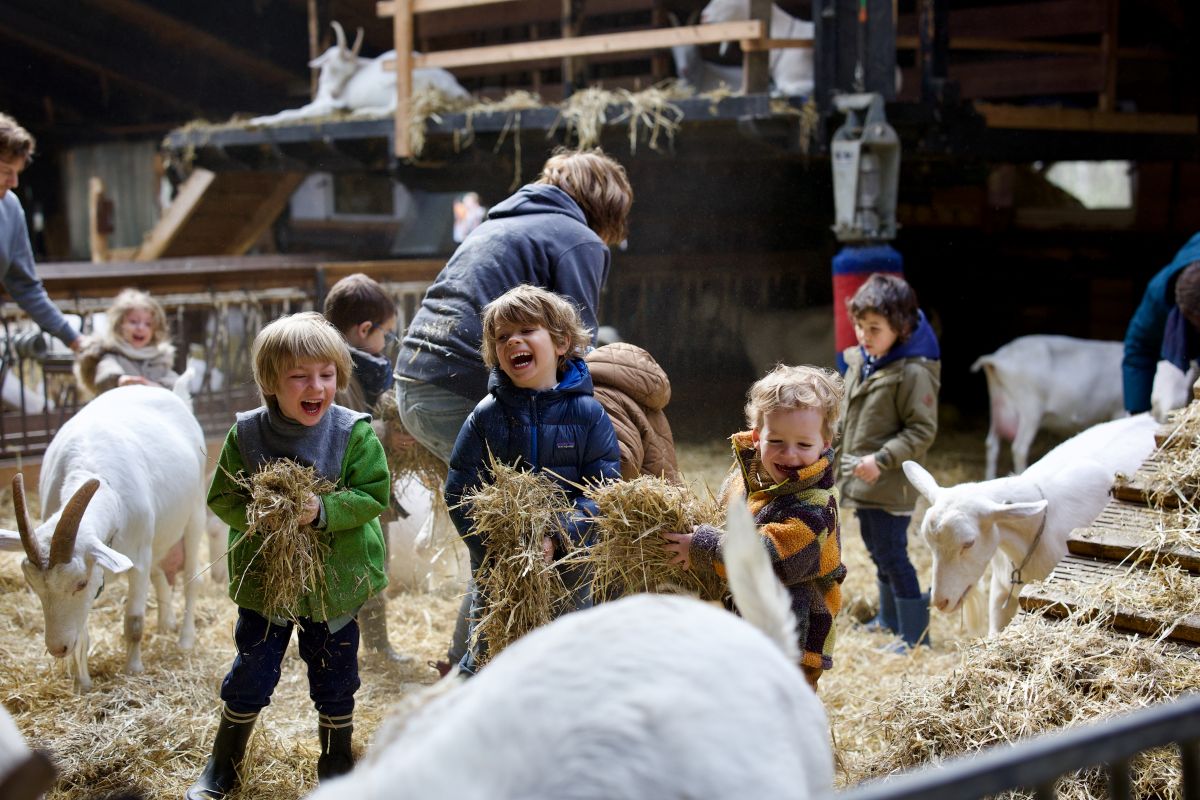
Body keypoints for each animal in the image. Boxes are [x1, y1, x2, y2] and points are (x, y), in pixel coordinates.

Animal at [0, 383, 206, 690]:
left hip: (194, 514)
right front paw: (82, 683)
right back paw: (165, 623)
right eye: (33, 585)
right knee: (160, 573)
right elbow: (83, 634)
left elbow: (134, 621)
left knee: (191, 579)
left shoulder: (138, 558)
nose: (57, 648)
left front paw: (133, 669)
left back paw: (185, 639)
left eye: (81, 583)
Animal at [248, 20, 468, 125]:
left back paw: (364, 111)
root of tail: (455, 88)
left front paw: (258, 121)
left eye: (348, 72)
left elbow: (292, 112)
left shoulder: (328, 105)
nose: (336, 94)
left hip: (397, 81)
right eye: (331, 66)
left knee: (394, 107)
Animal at [969, 335, 1128, 479]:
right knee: (1019, 448)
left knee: (992, 444)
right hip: (1029, 410)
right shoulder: (1119, 409)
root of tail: (997, 358)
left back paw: (989, 478)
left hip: (998, 406)